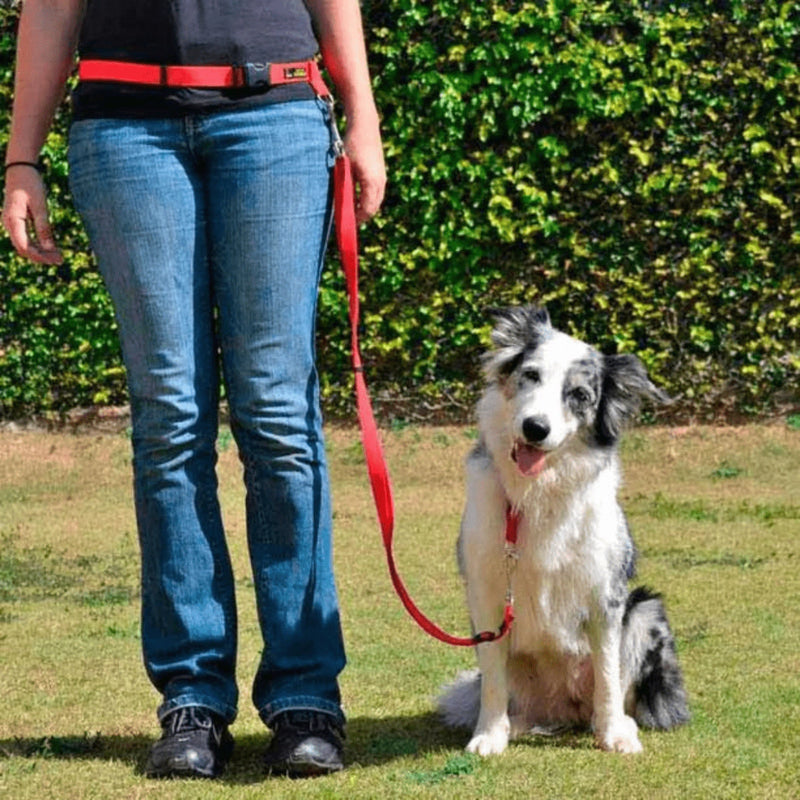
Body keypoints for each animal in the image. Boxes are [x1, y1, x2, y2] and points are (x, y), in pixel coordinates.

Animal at [438, 306, 688, 756]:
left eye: (579, 395)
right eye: (531, 375)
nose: (535, 428)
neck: (538, 491)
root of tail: (563, 709)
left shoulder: (607, 595)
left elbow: (607, 675)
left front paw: (614, 734)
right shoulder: (485, 594)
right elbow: (493, 683)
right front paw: (489, 735)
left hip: (644, 610)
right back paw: (515, 725)